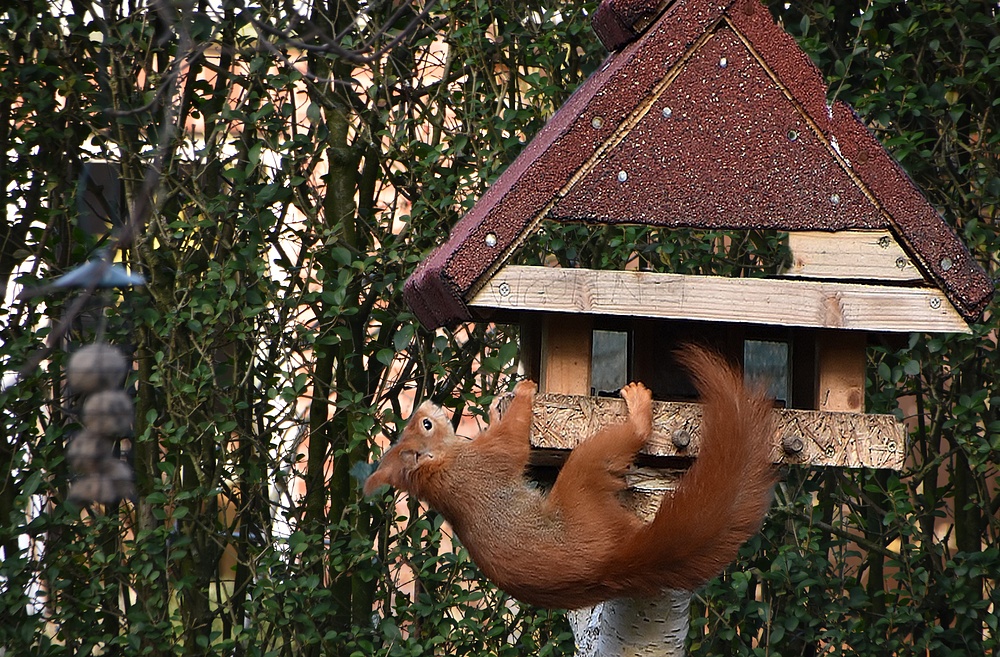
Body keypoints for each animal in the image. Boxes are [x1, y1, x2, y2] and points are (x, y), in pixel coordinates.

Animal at [364, 346, 776, 608]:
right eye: (428, 425)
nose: (427, 403)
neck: (443, 467)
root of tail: (611, 563)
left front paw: (501, 403)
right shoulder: (489, 459)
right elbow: (514, 439)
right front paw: (525, 391)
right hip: (583, 483)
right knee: (608, 451)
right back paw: (638, 410)